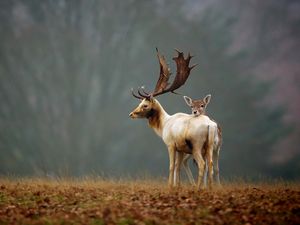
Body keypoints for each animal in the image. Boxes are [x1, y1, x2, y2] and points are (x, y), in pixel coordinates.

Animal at [129, 49, 218, 190]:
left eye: (145, 105)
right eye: (140, 103)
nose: (131, 114)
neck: (164, 125)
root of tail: (210, 125)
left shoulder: (170, 144)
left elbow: (171, 166)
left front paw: (170, 186)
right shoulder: (181, 148)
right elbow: (177, 166)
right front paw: (178, 186)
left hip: (197, 145)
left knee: (202, 164)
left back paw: (198, 188)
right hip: (209, 145)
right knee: (210, 163)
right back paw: (209, 188)